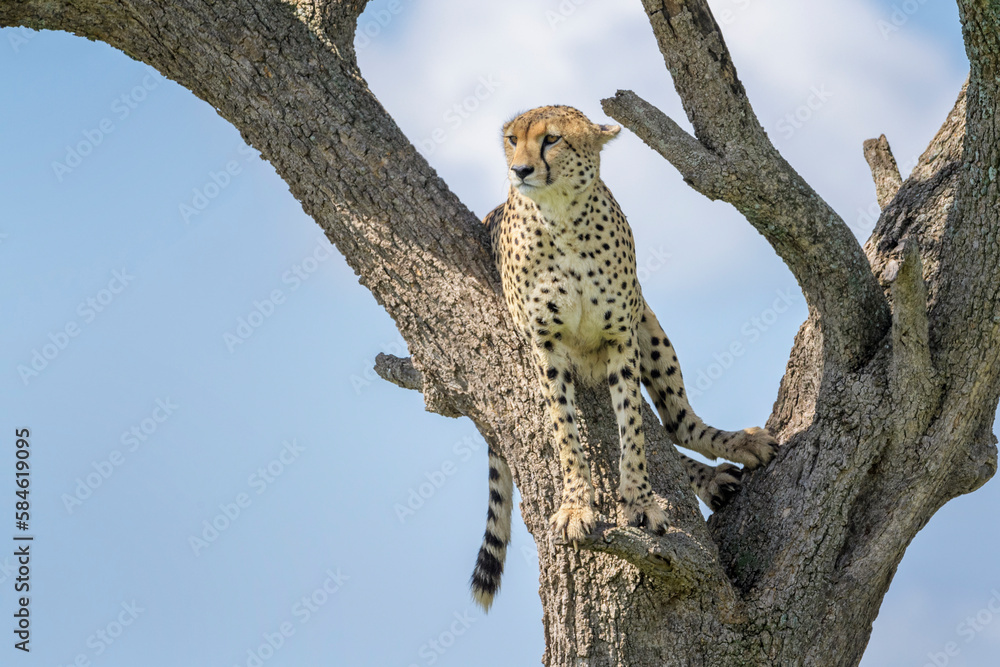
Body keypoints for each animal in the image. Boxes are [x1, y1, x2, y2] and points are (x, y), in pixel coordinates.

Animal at [469, 105, 778, 611]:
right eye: (512, 140)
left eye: (551, 139)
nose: (520, 170)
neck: (563, 219)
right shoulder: (546, 347)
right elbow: (566, 434)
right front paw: (577, 506)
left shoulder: (622, 339)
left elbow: (633, 428)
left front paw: (639, 502)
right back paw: (714, 479)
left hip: (650, 326)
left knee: (677, 424)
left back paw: (735, 446)